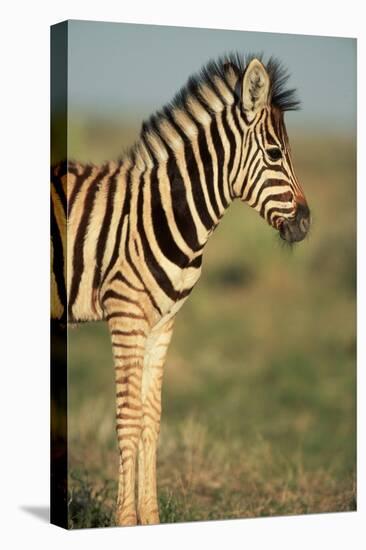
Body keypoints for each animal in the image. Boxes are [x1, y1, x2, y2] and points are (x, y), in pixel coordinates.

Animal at [50, 54, 308, 528]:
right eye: (275, 154)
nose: (305, 224)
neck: (166, 212)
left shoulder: (162, 323)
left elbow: (151, 419)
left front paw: (149, 518)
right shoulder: (126, 316)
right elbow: (129, 417)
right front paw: (124, 519)